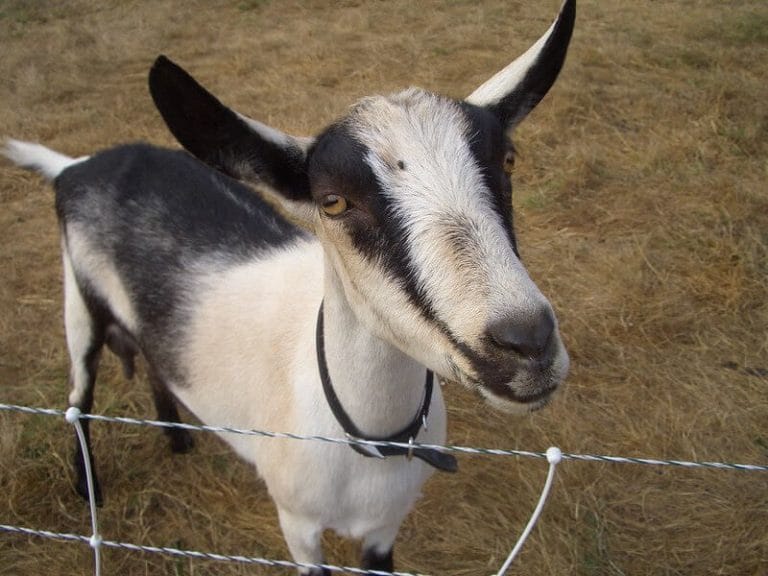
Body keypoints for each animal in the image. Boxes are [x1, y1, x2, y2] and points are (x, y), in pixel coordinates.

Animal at [3, 1, 575, 572]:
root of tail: (77, 165)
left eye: (508, 160)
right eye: (333, 201)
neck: (369, 439)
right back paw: (90, 488)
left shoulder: (386, 526)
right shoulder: (297, 523)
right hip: (78, 307)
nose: (527, 343)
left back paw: (177, 440)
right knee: (78, 396)